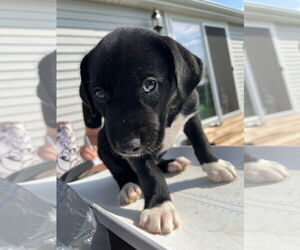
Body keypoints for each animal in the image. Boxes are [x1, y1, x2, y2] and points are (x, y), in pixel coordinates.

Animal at [79, 27, 237, 234]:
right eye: (99, 93)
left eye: (149, 85)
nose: (125, 146)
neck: (169, 114)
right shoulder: (136, 152)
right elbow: (149, 173)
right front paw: (160, 207)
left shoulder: (192, 114)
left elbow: (201, 141)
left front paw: (215, 166)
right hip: (103, 141)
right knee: (121, 172)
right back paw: (129, 187)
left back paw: (172, 163)